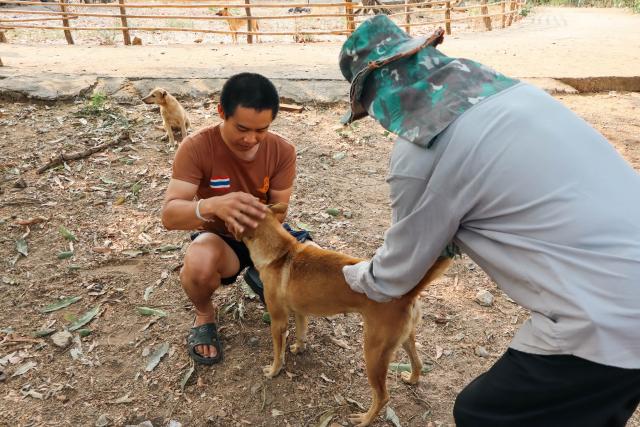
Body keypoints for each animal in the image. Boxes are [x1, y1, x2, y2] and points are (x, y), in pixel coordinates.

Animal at [238, 203, 452, 426]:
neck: (281, 253)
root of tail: (407, 292)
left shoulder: (278, 321)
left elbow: (277, 353)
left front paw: (273, 371)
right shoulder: (300, 313)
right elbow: (301, 333)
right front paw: (299, 348)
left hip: (374, 353)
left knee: (382, 396)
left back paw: (365, 419)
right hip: (404, 339)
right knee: (417, 363)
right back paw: (411, 379)